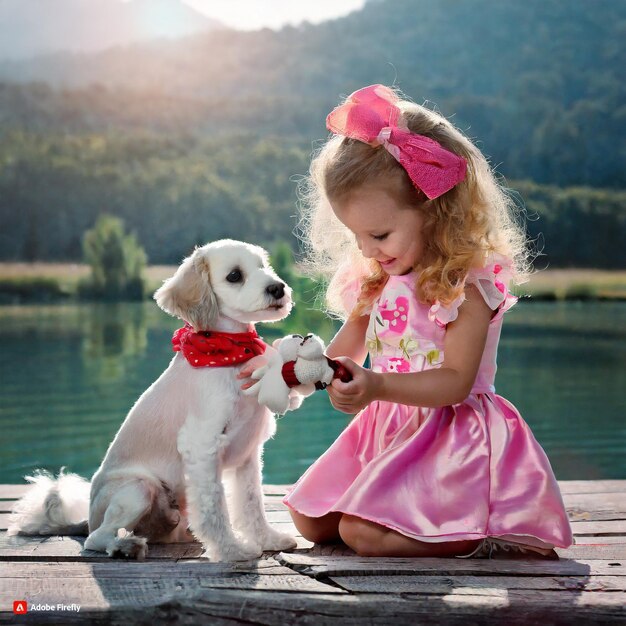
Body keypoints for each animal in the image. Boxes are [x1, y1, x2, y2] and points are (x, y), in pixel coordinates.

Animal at [7, 239, 298, 560]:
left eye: (263, 266)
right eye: (235, 275)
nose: (278, 288)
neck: (230, 354)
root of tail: (87, 517)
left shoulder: (247, 454)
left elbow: (251, 503)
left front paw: (268, 539)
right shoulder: (202, 446)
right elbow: (214, 507)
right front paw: (230, 550)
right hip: (138, 488)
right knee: (95, 538)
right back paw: (124, 545)